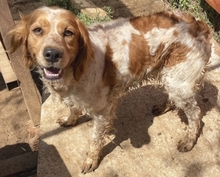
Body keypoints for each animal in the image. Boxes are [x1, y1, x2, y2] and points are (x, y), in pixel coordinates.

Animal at [8, 6, 211, 173]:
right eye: (37, 30)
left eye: (68, 33)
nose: (52, 54)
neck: (75, 69)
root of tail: (199, 24)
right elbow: (73, 108)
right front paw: (69, 120)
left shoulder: (102, 111)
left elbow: (95, 139)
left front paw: (91, 161)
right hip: (170, 76)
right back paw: (163, 107)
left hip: (178, 81)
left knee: (195, 113)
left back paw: (189, 140)